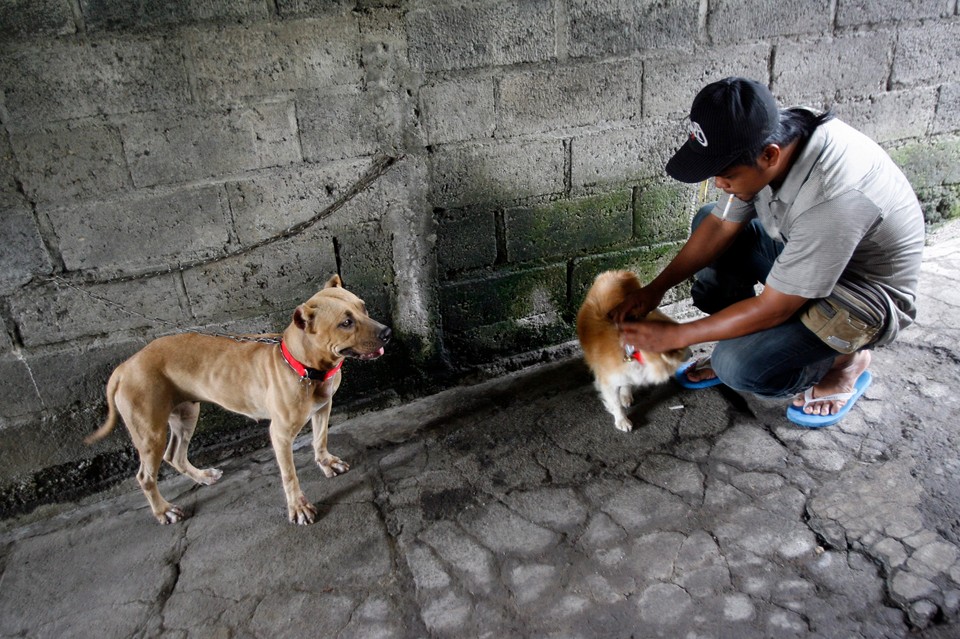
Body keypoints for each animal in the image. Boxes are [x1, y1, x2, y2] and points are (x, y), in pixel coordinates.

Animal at [84, 276, 392, 524]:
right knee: (146, 477)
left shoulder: (322, 408)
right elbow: (289, 475)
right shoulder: (280, 434)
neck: (303, 366)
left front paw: (326, 462)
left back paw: (202, 477)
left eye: (364, 307)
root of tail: (124, 367)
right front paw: (298, 507)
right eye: (346, 322)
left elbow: (320, 439)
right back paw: (164, 511)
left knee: (175, 455)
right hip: (150, 433)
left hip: (185, 414)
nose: (387, 332)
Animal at [576, 270, 688, 436]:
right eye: (680, 350)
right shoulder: (609, 381)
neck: (632, 350)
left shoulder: (629, 369)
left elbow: (627, 383)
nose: (691, 353)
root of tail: (617, 273)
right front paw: (621, 419)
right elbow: (615, 402)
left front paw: (625, 395)